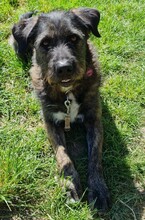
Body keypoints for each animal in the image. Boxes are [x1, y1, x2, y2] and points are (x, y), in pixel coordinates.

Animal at [11, 7, 110, 212]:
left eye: (73, 38)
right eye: (45, 43)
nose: (64, 68)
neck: (67, 93)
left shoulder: (94, 120)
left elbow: (94, 157)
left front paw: (98, 188)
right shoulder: (50, 123)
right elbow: (63, 156)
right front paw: (70, 185)